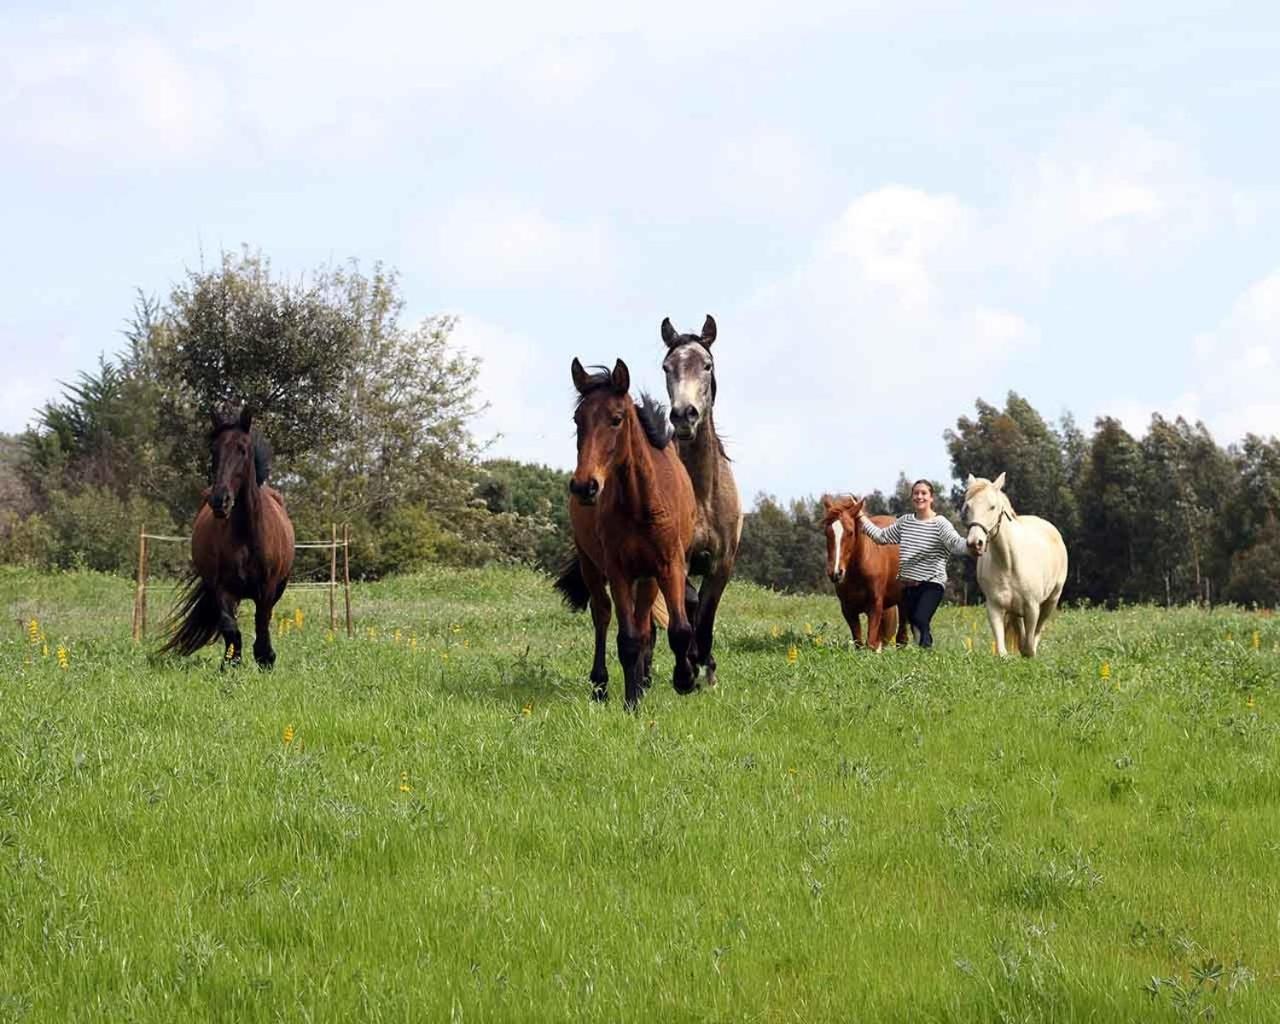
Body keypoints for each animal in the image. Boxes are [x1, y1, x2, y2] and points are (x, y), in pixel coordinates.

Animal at [160, 412, 294, 665]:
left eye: (242, 449)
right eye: (214, 450)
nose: (220, 500)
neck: (246, 535)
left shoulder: (267, 589)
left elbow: (262, 626)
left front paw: (266, 659)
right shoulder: (222, 589)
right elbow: (231, 630)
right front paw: (231, 664)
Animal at [555, 355, 701, 706]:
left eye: (616, 419)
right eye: (577, 419)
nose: (585, 486)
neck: (641, 502)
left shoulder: (669, 565)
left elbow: (677, 629)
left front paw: (685, 679)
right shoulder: (618, 570)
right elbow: (627, 638)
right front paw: (631, 700)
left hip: (647, 577)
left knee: (645, 621)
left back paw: (645, 679)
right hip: (593, 567)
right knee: (603, 615)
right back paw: (601, 685)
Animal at [819, 496, 911, 647]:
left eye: (850, 532)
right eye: (827, 533)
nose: (836, 573)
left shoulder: (875, 607)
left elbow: (871, 643)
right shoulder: (848, 609)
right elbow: (859, 643)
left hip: (903, 602)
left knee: (901, 637)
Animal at [962, 471, 1064, 655]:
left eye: (992, 507)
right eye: (968, 507)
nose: (975, 543)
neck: (1008, 563)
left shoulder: (1032, 608)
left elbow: (1030, 646)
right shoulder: (994, 607)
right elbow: (1002, 650)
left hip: (1051, 600)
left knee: (1038, 630)